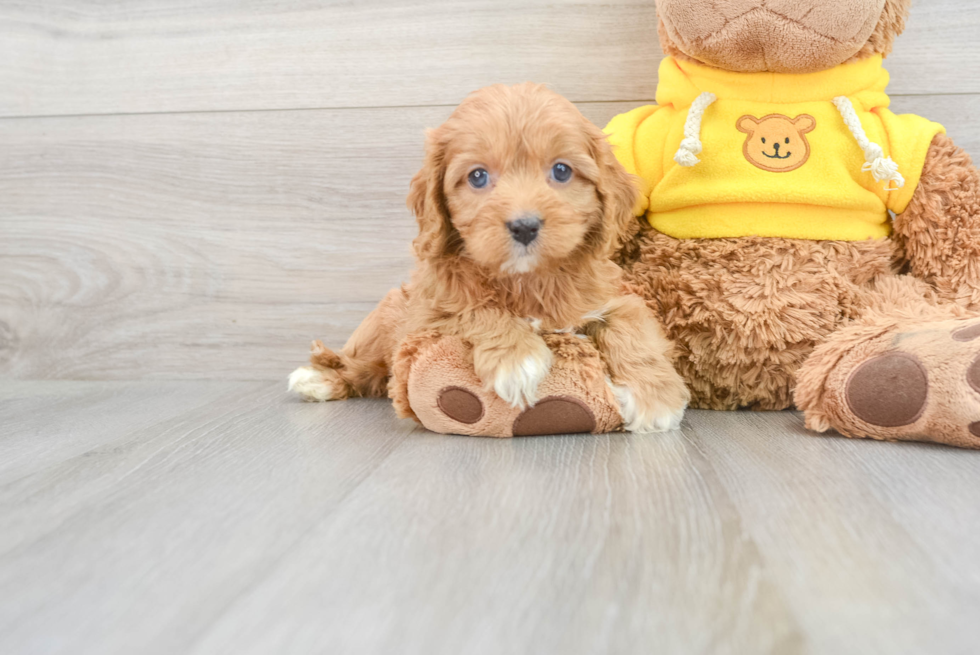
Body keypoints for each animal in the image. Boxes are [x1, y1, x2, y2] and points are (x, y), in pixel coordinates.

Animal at [290, 82, 688, 436]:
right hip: (384, 319)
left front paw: (655, 400)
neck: (528, 279)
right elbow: (476, 308)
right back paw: (320, 379)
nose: (524, 226)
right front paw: (518, 360)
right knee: (359, 364)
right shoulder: (429, 310)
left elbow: (630, 327)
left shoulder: (614, 296)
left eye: (561, 170)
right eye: (478, 176)